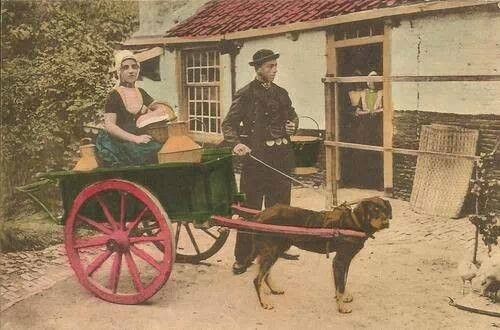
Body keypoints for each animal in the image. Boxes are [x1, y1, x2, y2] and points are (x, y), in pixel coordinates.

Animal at [250, 197, 390, 314]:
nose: (386, 223)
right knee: (257, 279)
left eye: (385, 209)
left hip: (276, 250)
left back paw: (274, 289)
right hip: (272, 251)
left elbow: (342, 281)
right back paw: (264, 302)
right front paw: (341, 307)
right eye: (374, 210)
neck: (354, 222)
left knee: (266, 274)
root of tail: (260, 214)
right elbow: (340, 286)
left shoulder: (345, 260)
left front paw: (342, 298)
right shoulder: (340, 260)